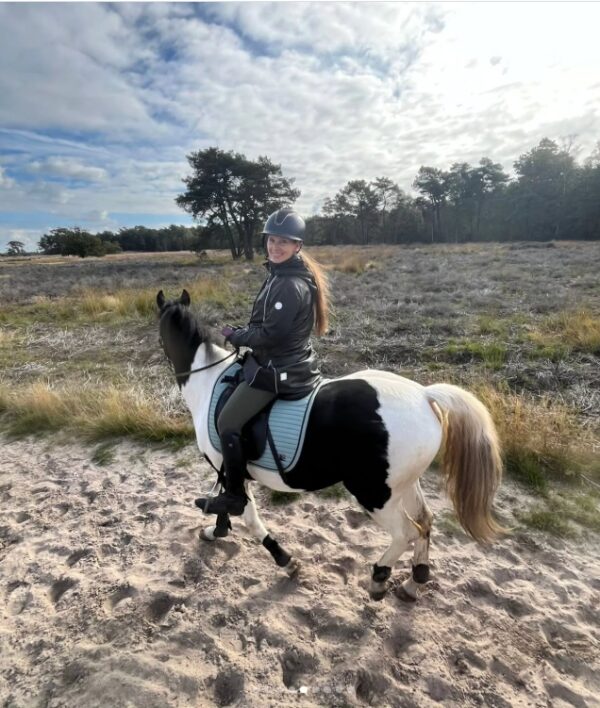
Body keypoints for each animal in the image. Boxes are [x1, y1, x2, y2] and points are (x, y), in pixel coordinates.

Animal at [157, 289, 504, 601]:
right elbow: (227, 509)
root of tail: (423, 395)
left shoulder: (231, 470)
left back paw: (379, 578)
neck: (209, 382)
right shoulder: (230, 472)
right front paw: (215, 531)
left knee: (406, 533)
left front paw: (285, 560)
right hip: (403, 485)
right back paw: (412, 583)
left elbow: (248, 517)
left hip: (375, 494)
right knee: (425, 522)